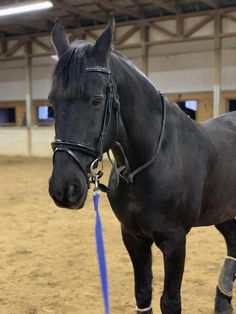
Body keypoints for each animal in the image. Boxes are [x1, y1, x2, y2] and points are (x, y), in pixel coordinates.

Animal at [48, 17, 236, 314]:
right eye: (52, 102)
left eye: (96, 100)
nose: (64, 188)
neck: (147, 166)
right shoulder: (133, 237)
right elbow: (143, 292)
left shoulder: (174, 240)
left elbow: (170, 301)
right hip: (223, 212)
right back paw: (223, 301)